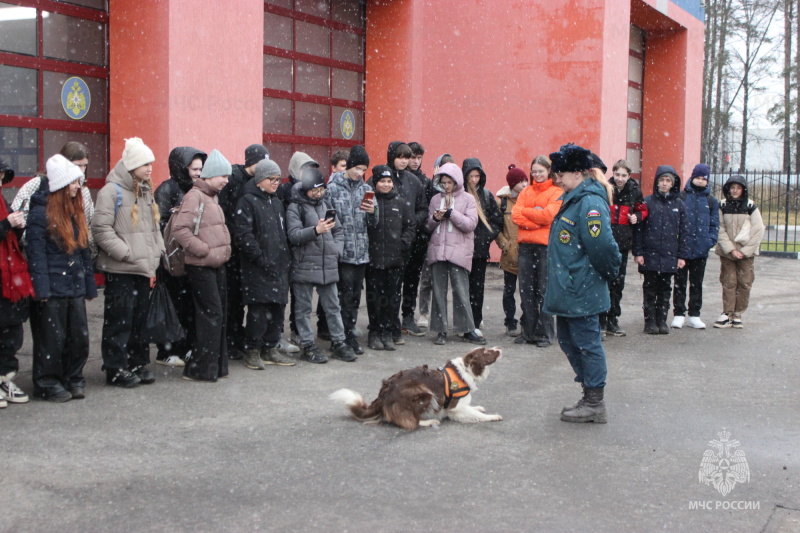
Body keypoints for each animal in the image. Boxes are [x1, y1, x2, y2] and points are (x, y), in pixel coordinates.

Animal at [330, 344, 504, 428]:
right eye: (486, 352)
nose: (499, 348)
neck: (465, 371)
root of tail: (382, 396)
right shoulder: (455, 408)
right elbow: (477, 415)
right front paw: (493, 416)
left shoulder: (456, 407)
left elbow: (474, 409)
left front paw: (479, 407)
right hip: (423, 391)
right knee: (408, 422)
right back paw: (429, 422)